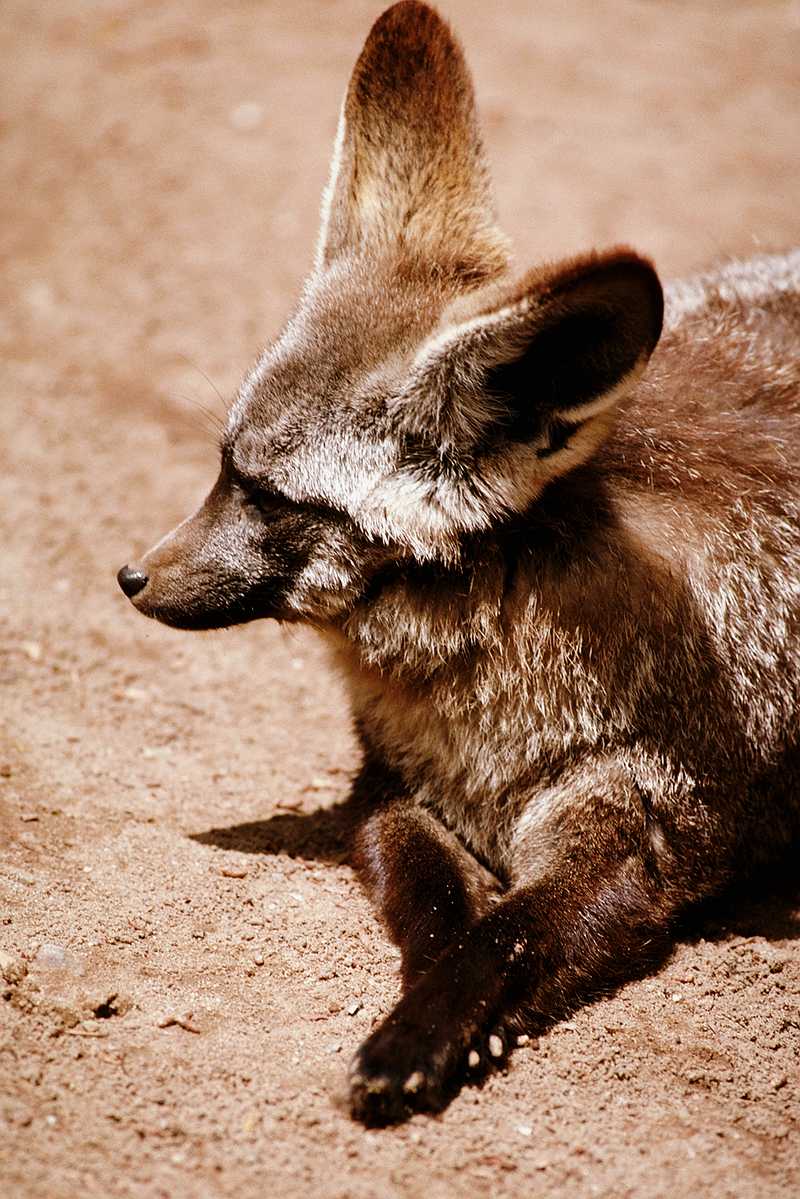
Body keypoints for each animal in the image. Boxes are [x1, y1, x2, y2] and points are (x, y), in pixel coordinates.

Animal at [120, 0, 800, 1122]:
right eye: (222, 468)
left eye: (266, 497)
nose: (130, 577)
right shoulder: (389, 785)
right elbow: (434, 904)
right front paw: (432, 993)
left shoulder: (637, 824)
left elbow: (512, 928)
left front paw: (424, 1030)